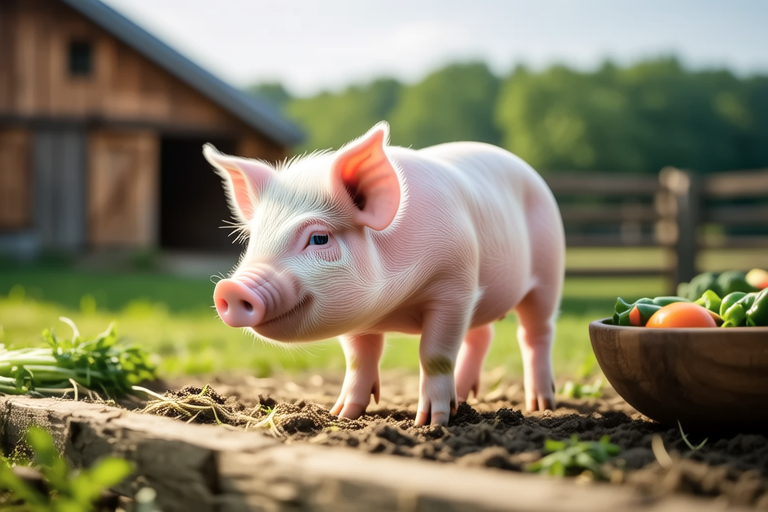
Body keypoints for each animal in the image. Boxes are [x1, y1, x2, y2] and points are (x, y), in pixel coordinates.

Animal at [204, 121, 564, 425]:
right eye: (254, 239)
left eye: (319, 238)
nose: (231, 289)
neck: (393, 306)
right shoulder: (358, 317)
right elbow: (359, 358)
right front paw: (341, 415)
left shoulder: (455, 287)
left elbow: (435, 355)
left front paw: (431, 423)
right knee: (481, 334)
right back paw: (462, 399)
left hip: (547, 274)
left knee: (535, 332)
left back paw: (540, 405)